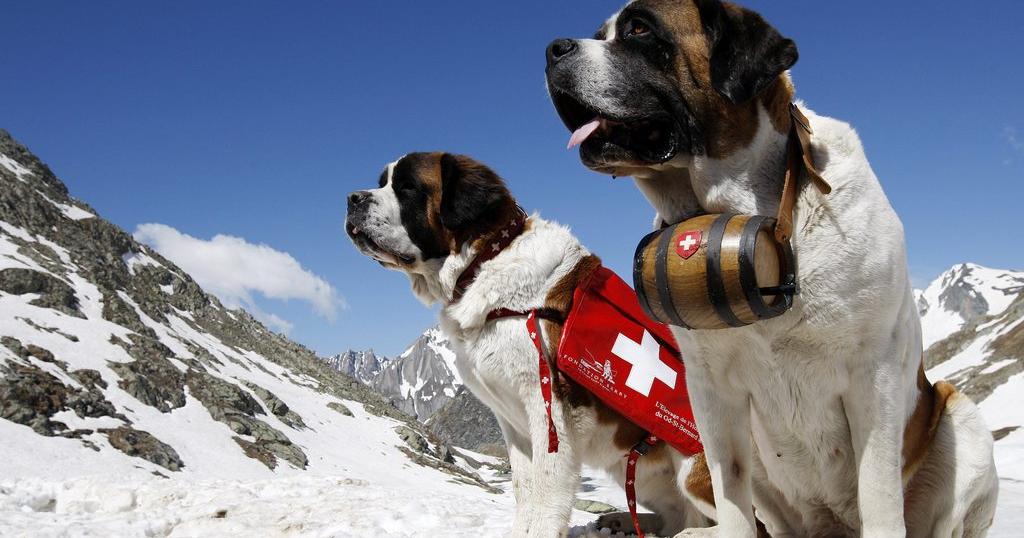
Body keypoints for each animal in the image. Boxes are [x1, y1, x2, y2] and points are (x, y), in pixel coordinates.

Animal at [344, 151, 712, 536]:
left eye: (407, 187)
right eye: (383, 181)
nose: (352, 199)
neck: (484, 261)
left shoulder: (550, 409)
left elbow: (548, 489)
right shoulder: (513, 421)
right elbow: (524, 487)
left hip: (694, 467)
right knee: (675, 515)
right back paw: (624, 519)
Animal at [544, 1, 999, 536]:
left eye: (639, 29)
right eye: (601, 33)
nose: (553, 49)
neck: (756, 214)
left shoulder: (876, 376)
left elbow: (880, 497)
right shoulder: (712, 394)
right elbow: (733, 496)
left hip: (963, 422)